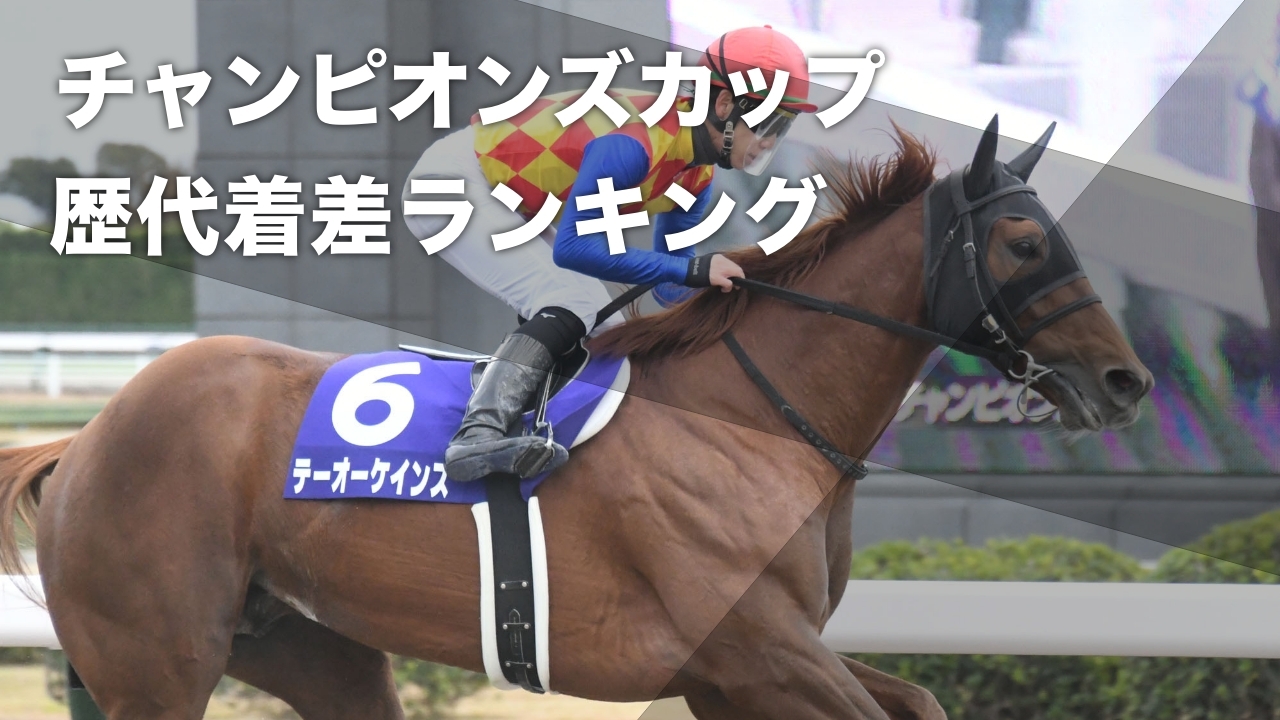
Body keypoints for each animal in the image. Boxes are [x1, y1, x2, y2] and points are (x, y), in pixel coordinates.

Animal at [0, 119, 1152, 720]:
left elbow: (919, 701)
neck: (755, 421)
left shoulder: (745, 667)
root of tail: (87, 435)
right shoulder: (756, 652)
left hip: (307, 645)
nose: (1126, 381)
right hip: (157, 660)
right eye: (1021, 243)